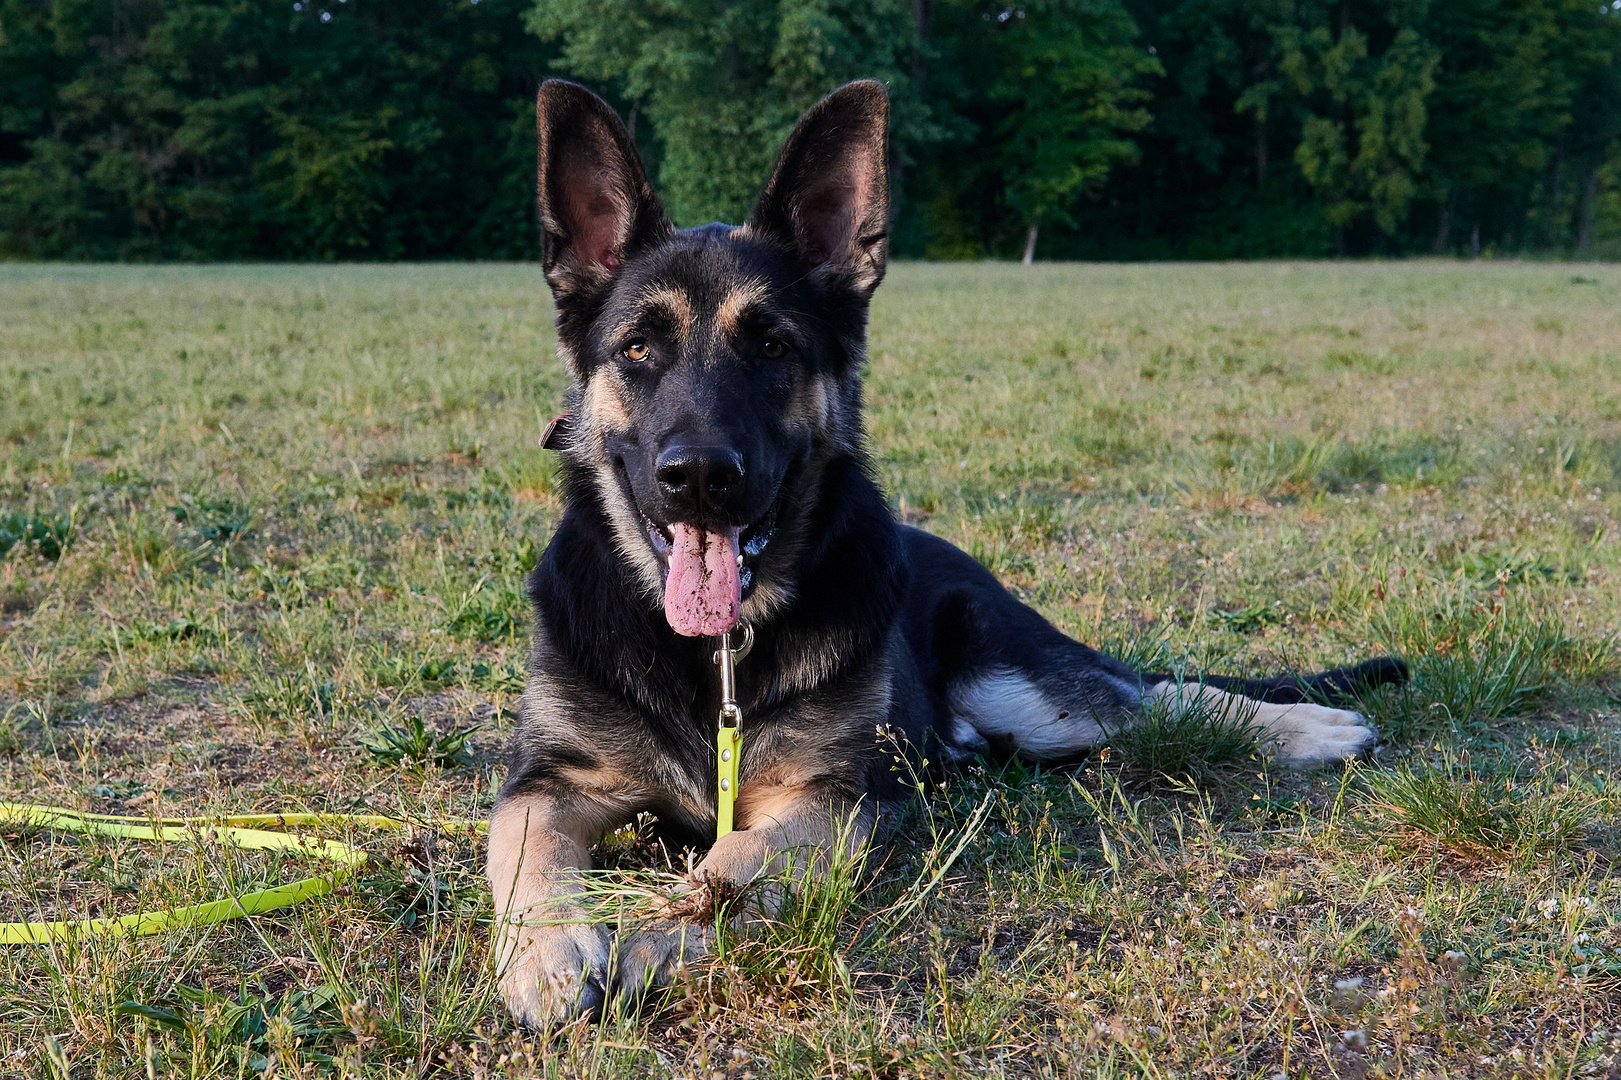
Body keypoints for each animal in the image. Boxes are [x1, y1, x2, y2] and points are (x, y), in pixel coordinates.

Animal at [483, 77, 1407, 1024]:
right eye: (637, 348)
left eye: (772, 346)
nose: (699, 475)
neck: (715, 656)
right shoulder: (549, 782)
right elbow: (521, 848)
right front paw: (550, 951)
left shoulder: (831, 799)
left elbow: (730, 865)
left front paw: (662, 930)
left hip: (1027, 696)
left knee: (1165, 697)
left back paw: (1311, 728)